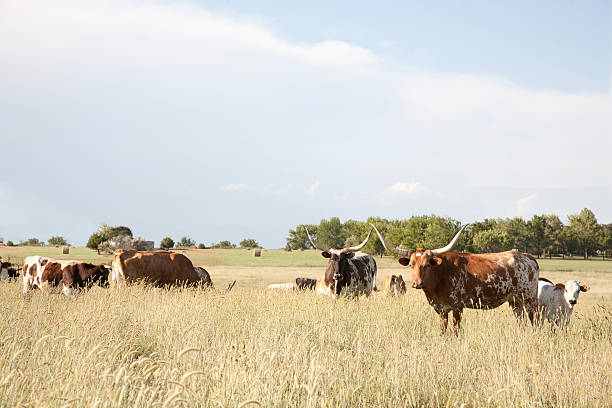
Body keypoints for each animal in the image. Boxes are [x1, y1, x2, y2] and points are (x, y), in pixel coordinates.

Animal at [370, 223, 536, 334]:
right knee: (521, 321)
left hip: (529, 299)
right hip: (515, 301)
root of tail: (526, 257)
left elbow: (456, 328)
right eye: (411, 264)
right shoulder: (441, 309)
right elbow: (443, 329)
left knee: (534, 320)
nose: (417, 283)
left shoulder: (458, 307)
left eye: (427, 264)